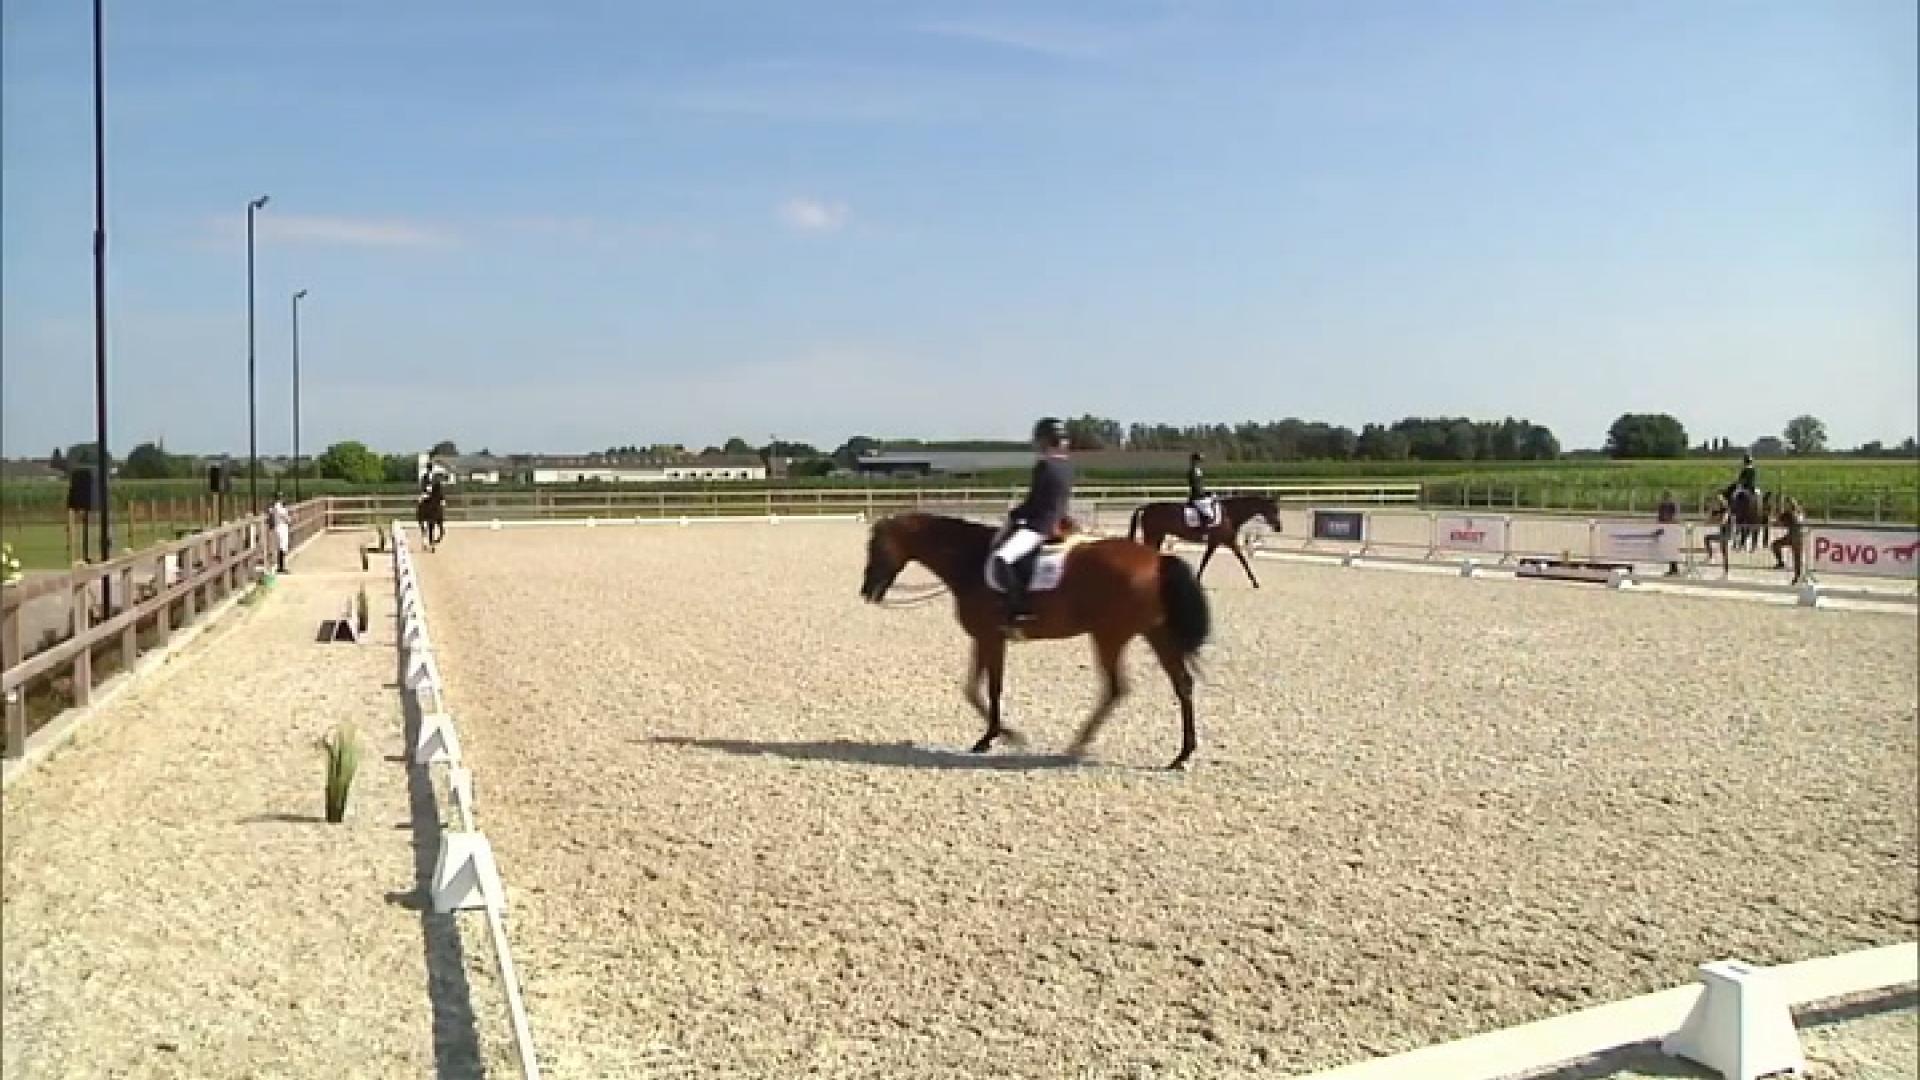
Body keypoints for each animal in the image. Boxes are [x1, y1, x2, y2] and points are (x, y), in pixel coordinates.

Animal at [861, 513, 1212, 769]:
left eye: (876, 547)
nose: (867, 591)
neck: (972, 561)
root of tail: (1157, 560)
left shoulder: (990, 637)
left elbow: (989, 688)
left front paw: (1001, 736)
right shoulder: (987, 638)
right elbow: (974, 688)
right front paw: (993, 737)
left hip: (1110, 636)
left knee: (1115, 689)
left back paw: (1077, 745)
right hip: (1156, 634)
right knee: (1182, 684)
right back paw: (1182, 755)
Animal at [1126, 494, 1283, 588]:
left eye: (1278, 510)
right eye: (1274, 510)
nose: (1279, 528)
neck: (1229, 513)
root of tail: (1146, 507)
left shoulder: (1214, 543)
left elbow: (1205, 561)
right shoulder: (1229, 542)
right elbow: (1243, 560)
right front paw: (1255, 582)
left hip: (1159, 536)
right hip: (1152, 535)